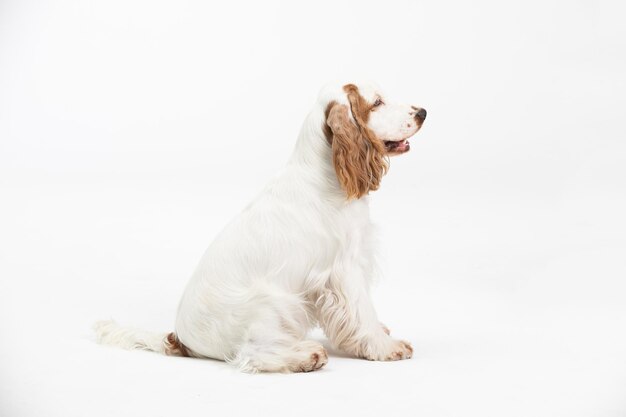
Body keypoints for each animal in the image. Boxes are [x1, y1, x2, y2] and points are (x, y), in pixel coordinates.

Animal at [94, 80, 424, 370]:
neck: (327, 174)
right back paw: (306, 357)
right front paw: (387, 347)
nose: (422, 112)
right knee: (251, 355)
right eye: (377, 102)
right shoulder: (345, 269)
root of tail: (181, 339)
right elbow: (362, 311)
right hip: (274, 302)